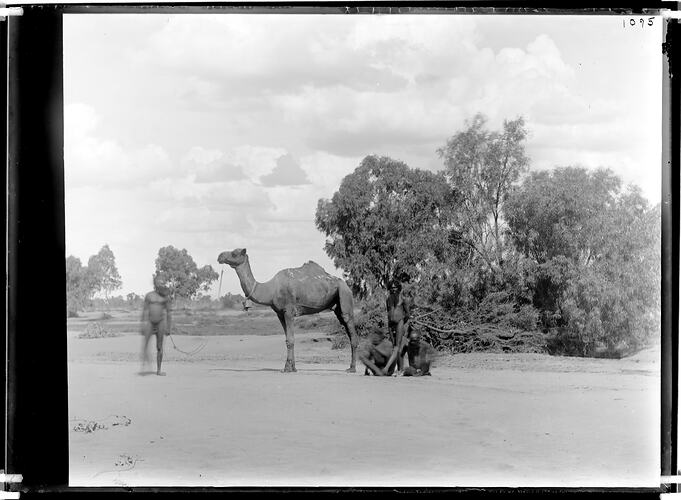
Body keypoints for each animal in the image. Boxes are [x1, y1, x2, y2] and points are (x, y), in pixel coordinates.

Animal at [218, 248, 358, 374]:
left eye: (234, 253)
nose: (220, 256)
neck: (271, 289)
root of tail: (346, 285)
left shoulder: (289, 311)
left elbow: (290, 340)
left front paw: (286, 368)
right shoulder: (280, 313)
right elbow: (287, 339)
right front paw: (293, 367)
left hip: (344, 294)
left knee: (350, 325)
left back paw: (352, 369)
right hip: (337, 306)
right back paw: (350, 367)